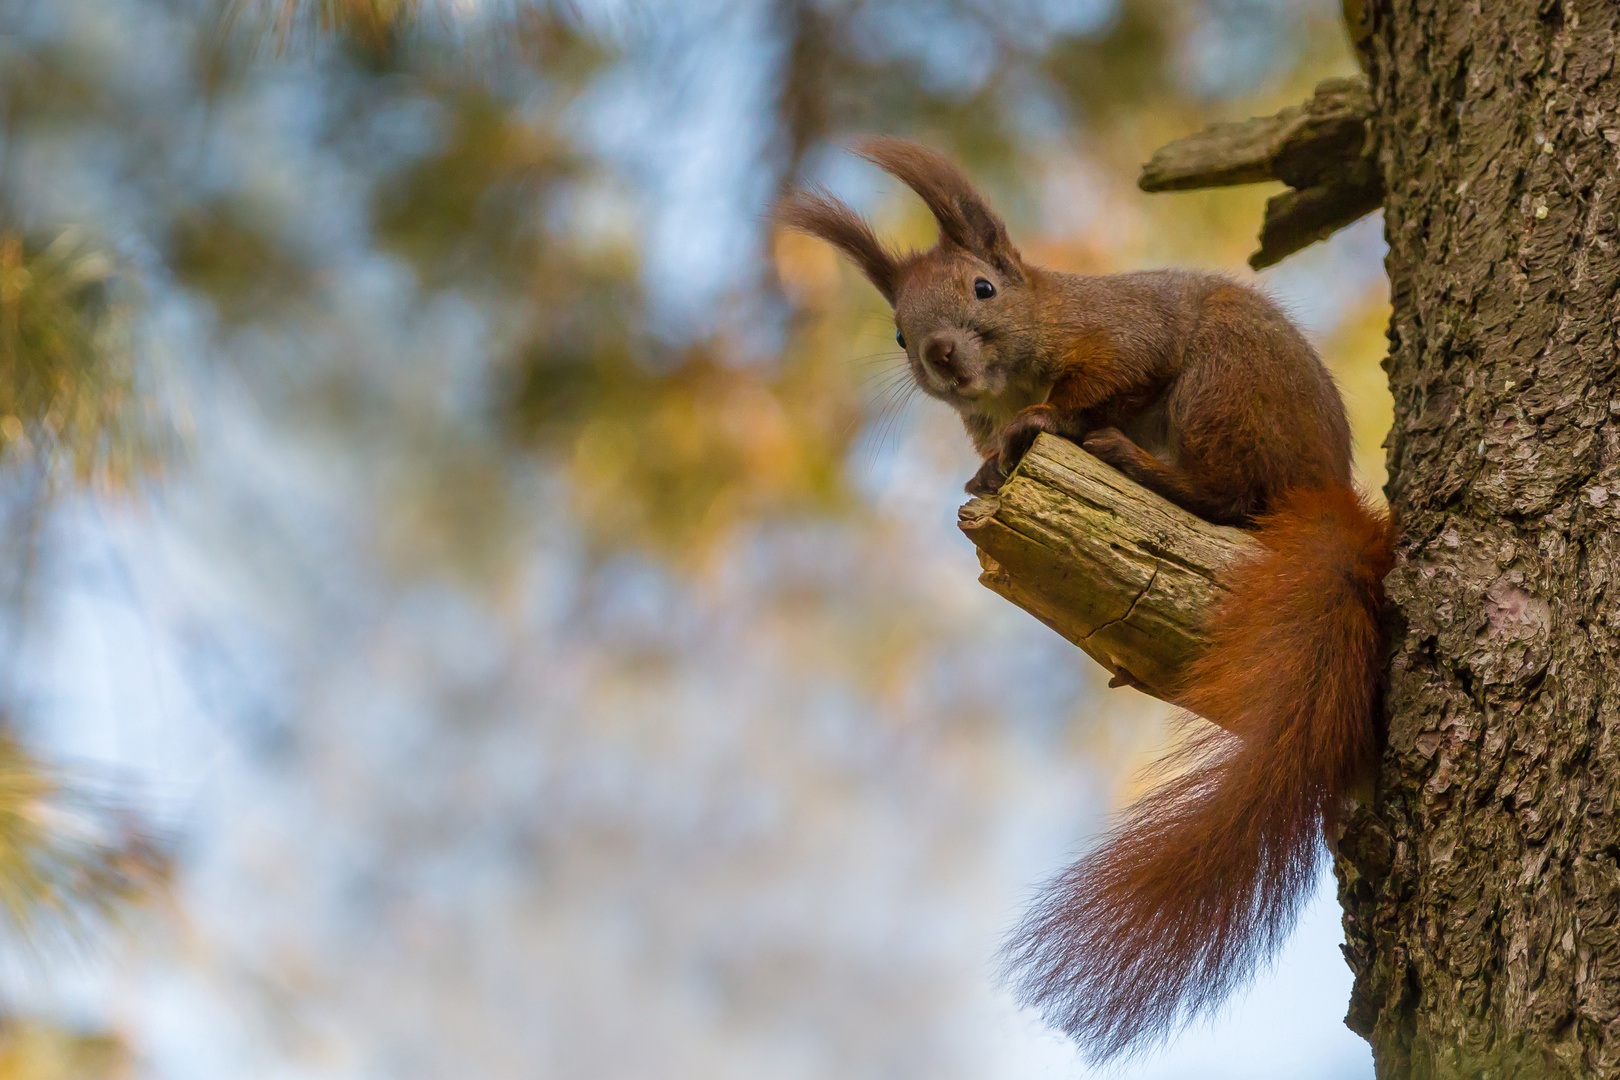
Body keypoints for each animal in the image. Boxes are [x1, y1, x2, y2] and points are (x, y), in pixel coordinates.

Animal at [777, 139, 1399, 1062]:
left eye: (983, 289)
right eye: (897, 330)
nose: (941, 357)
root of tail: (1324, 487)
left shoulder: (1119, 336)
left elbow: (1099, 385)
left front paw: (1038, 424)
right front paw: (987, 468)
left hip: (1225, 384)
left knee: (1231, 495)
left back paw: (1140, 464)